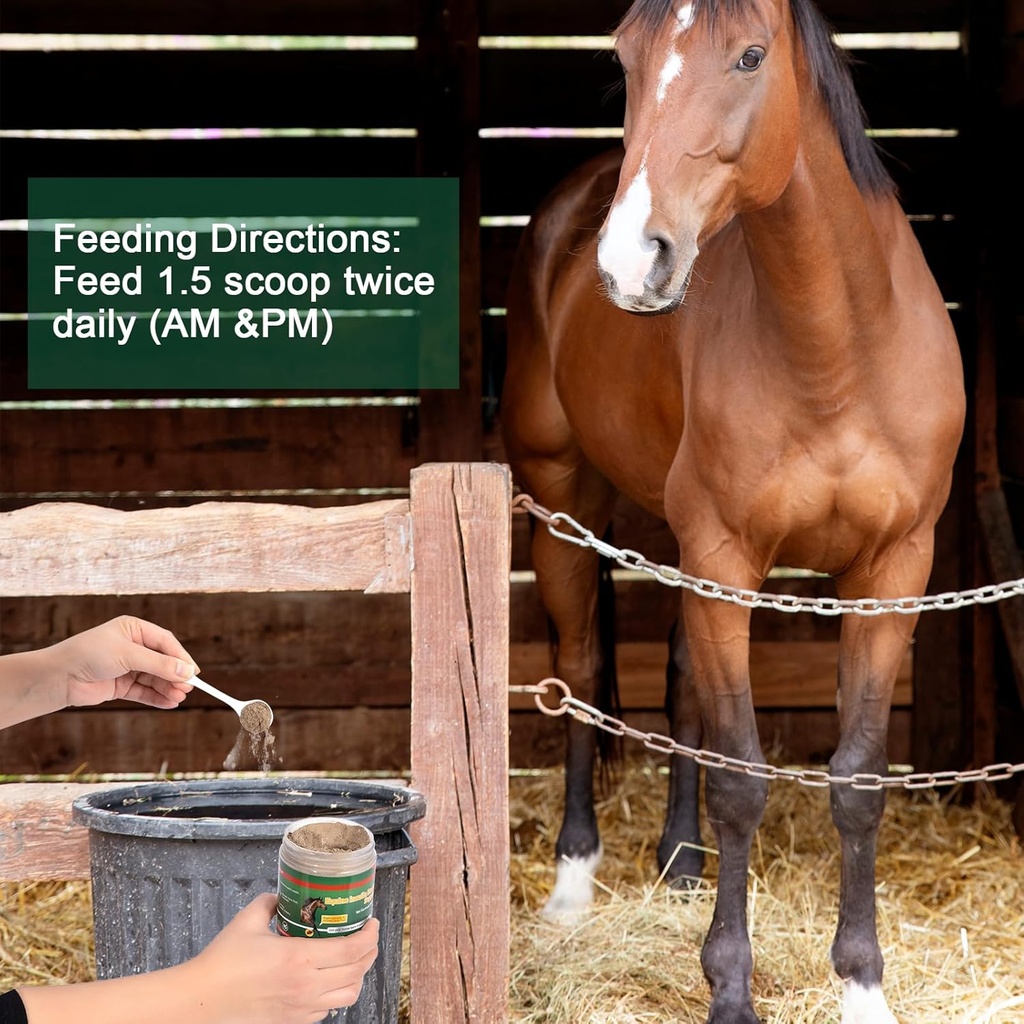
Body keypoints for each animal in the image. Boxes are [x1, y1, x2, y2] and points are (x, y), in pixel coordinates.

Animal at [500, 1, 965, 1021]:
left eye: (751, 57)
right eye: (625, 58)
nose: (631, 258)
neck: (836, 349)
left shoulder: (894, 572)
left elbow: (857, 779)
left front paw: (863, 985)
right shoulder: (724, 557)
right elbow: (743, 780)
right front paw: (730, 988)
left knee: (679, 682)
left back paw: (679, 863)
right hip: (558, 498)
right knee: (579, 670)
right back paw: (573, 882)